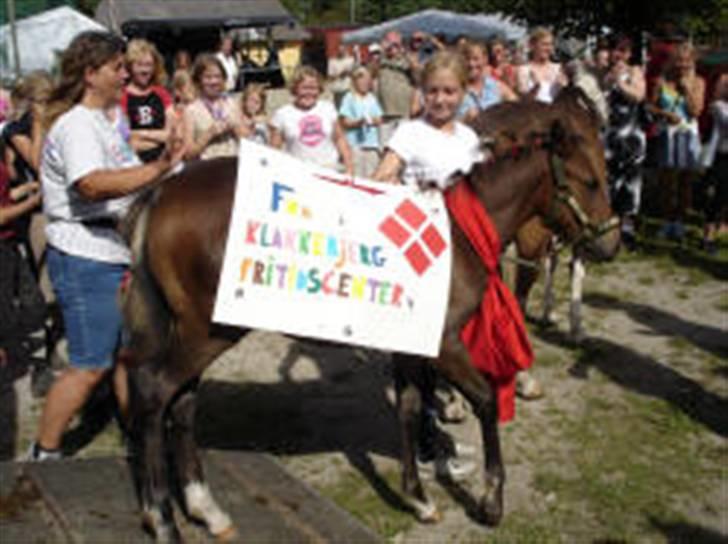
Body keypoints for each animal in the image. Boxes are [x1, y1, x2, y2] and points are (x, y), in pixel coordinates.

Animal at [121, 89, 620, 540]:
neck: (459, 233)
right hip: (207, 332)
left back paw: (203, 507)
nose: (611, 243)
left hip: (200, 333)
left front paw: (418, 498)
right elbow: (483, 399)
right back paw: (162, 516)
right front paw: (491, 498)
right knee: (154, 392)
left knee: (182, 403)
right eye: (591, 182)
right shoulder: (446, 345)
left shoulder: (412, 347)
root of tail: (161, 193)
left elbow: (410, 407)